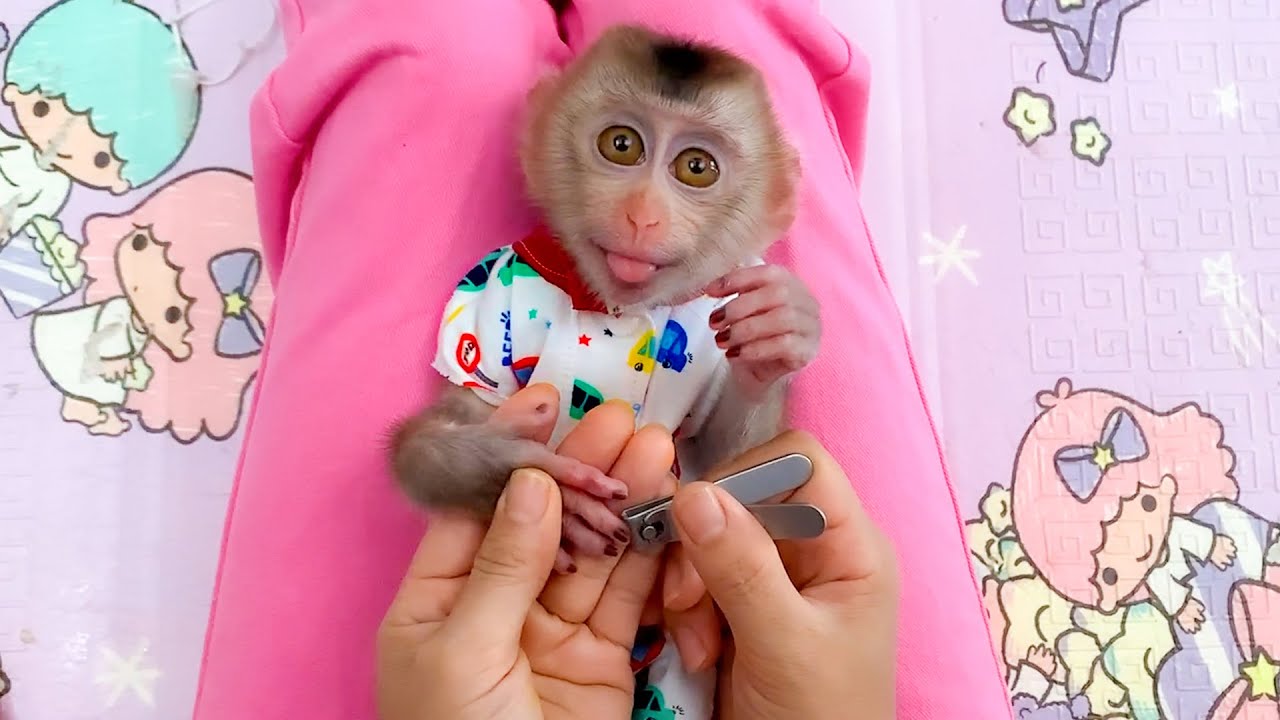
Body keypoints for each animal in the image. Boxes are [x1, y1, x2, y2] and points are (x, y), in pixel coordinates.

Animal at [389, 25, 818, 574]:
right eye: (621, 144)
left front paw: (780, 328)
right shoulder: (488, 295)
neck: (617, 309)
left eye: (696, 167)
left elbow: (725, 467)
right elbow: (445, 429)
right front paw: (506, 474)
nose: (643, 216)